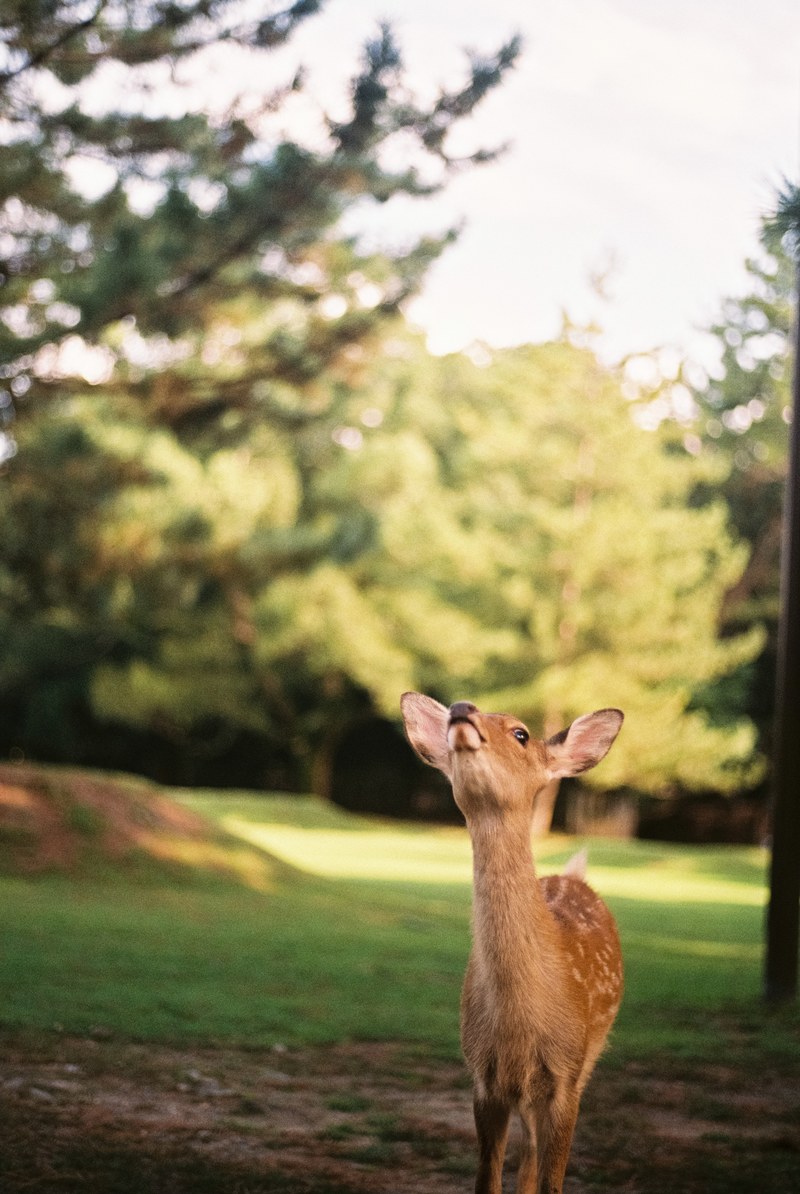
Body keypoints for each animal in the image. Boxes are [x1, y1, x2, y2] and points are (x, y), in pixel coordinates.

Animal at [400, 693, 624, 1194]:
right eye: (450, 713)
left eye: (521, 733)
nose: (460, 709)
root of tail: (573, 876)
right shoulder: (484, 1077)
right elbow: (488, 1178)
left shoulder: (566, 1075)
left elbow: (553, 1180)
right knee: (527, 1153)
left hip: (588, 1059)